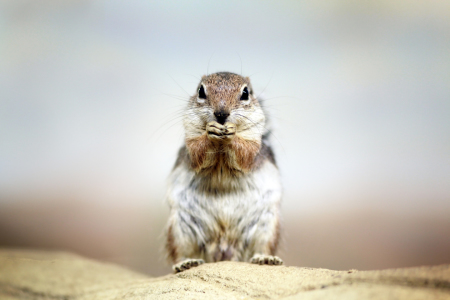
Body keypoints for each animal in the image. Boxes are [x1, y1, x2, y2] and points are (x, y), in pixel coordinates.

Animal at [165, 71, 284, 272]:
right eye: (201, 91)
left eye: (245, 93)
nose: (221, 114)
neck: (221, 145)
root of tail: (223, 253)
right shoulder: (191, 138)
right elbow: (198, 150)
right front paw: (210, 132)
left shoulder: (253, 144)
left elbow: (245, 153)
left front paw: (232, 133)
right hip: (180, 228)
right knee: (180, 252)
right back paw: (186, 263)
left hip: (266, 225)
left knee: (262, 247)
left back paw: (265, 258)